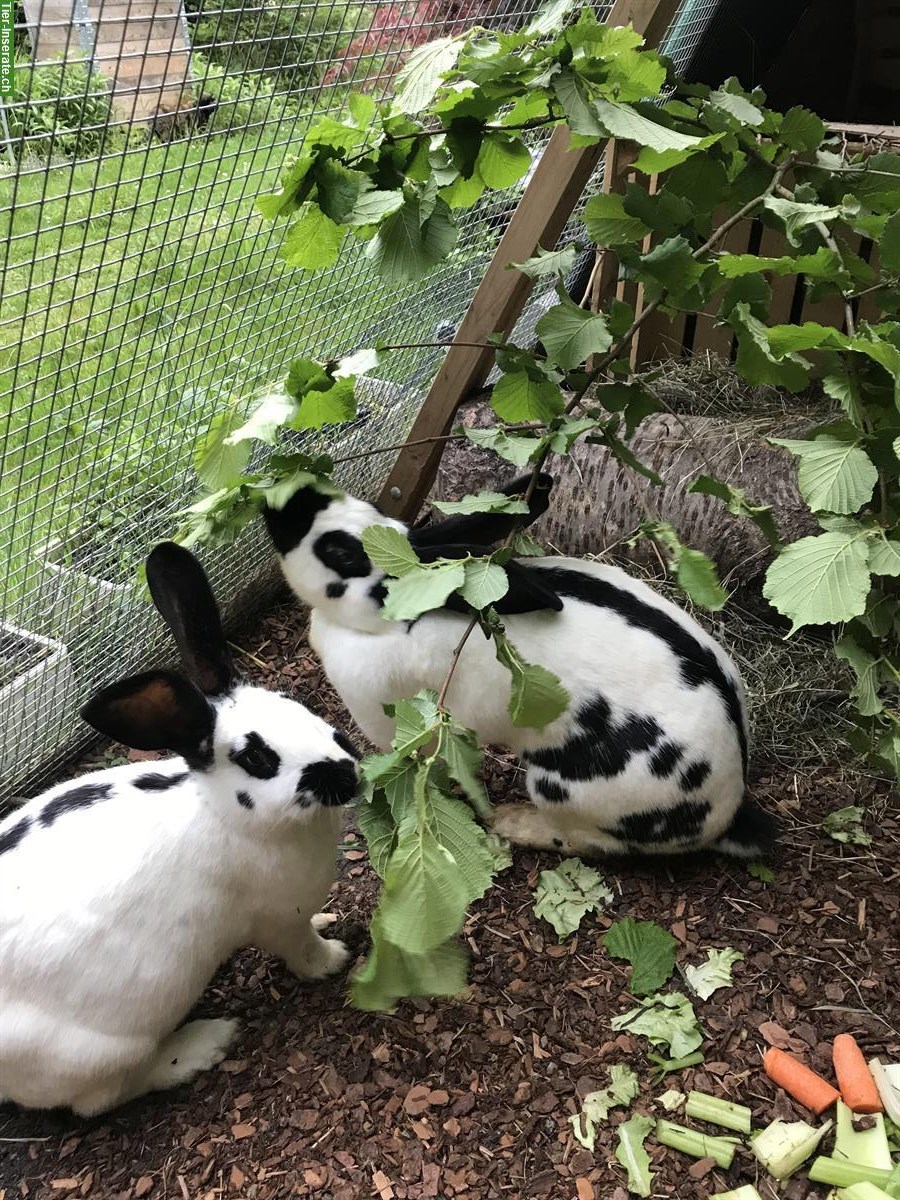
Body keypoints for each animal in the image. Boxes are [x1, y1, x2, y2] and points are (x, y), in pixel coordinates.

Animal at [0, 544, 360, 1113]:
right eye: (258, 758)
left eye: (295, 705)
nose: (347, 772)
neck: (223, 814)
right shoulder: (279, 919)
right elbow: (303, 949)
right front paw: (334, 957)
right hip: (98, 1051)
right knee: (104, 1097)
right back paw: (203, 1044)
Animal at [262, 475, 777, 864]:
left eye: (340, 551)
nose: (287, 497)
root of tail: (725, 813)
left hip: (563, 788)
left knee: (588, 843)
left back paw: (510, 821)